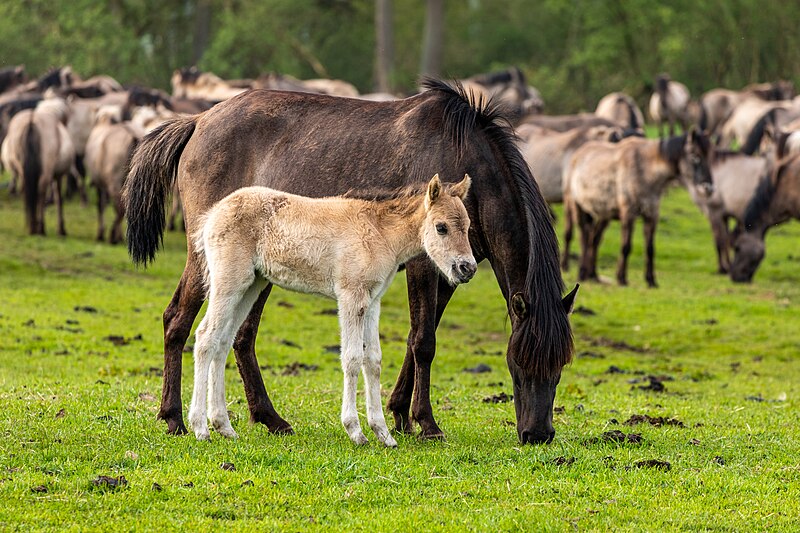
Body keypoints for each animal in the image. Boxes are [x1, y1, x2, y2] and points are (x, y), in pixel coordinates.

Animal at [188, 176, 476, 444]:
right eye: (441, 227)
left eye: (468, 227)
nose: (468, 268)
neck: (379, 231)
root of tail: (213, 212)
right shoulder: (350, 297)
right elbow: (352, 358)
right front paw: (355, 431)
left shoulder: (372, 301)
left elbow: (373, 360)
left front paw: (383, 434)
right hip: (229, 282)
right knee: (205, 337)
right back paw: (201, 428)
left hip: (251, 285)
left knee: (222, 342)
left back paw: (224, 427)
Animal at [564, 128, 712, 286]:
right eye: (695, 156)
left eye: (709, 157)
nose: (708, 188)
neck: (645, 171)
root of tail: (578, 153)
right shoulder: (629, 214)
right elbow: (626, 246)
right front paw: (622, 278)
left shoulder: (652, 215)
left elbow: (650, 248)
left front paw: (651, 280)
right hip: (577, 207)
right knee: (583, 238)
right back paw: (581, 272)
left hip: (604, 215)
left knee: (594, 240)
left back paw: (592, 275)